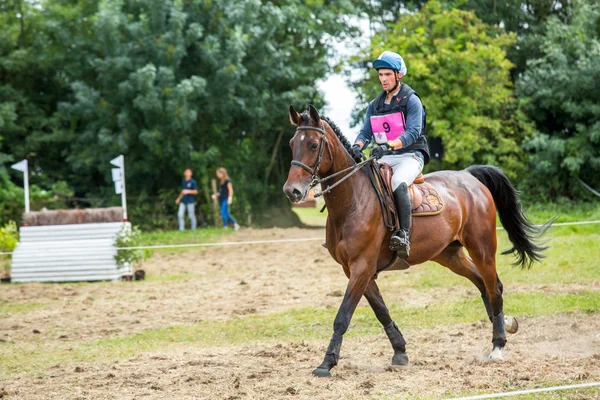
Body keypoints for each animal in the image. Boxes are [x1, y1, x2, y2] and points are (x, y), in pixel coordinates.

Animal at [284, 104, 552, 376]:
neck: (353, 201)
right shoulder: (354, 270)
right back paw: (506, 323)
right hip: (450, 255)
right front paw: (400, 351)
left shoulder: (362, 267)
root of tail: (469, 177)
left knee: (493, 286)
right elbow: (381, 311)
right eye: (292, 143)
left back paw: (498, 345)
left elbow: (343, 316)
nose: (292, 191)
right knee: (482, 284)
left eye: (314, 145)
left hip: (482, 248)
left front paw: (326, 363)